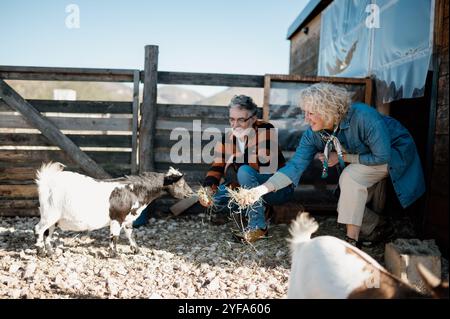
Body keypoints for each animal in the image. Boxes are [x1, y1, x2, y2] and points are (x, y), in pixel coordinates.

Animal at [33, 162, 192, 258]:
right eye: (180, 183)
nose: (190, 193)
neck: (134, 190)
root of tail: (46, 180)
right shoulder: (117, 217)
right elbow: (114, 236)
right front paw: (114, 254)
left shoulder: (128, 219)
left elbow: (130, 234)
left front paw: (136, 250)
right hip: (49, 214)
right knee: (38, 229)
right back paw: (40, 252)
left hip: (54, 218)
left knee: (47, 233)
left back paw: (50, 252)